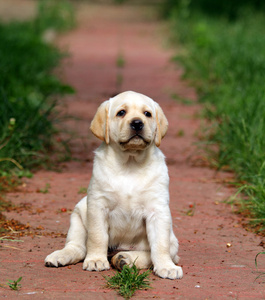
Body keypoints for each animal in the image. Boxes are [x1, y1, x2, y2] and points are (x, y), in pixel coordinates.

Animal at [44, 91, 183, 278]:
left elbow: (160, 245)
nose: (137, 123)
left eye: (147, 114)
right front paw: (96, 259)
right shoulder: (98, 205)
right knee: (78, 247)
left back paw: (124, 258)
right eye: (121, 113)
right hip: (78, 214)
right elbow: (97, 236)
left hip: (173, 241)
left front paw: (166, 267)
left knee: (152, 253)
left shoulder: (158, 211)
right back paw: (61, 255)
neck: (130, 163)